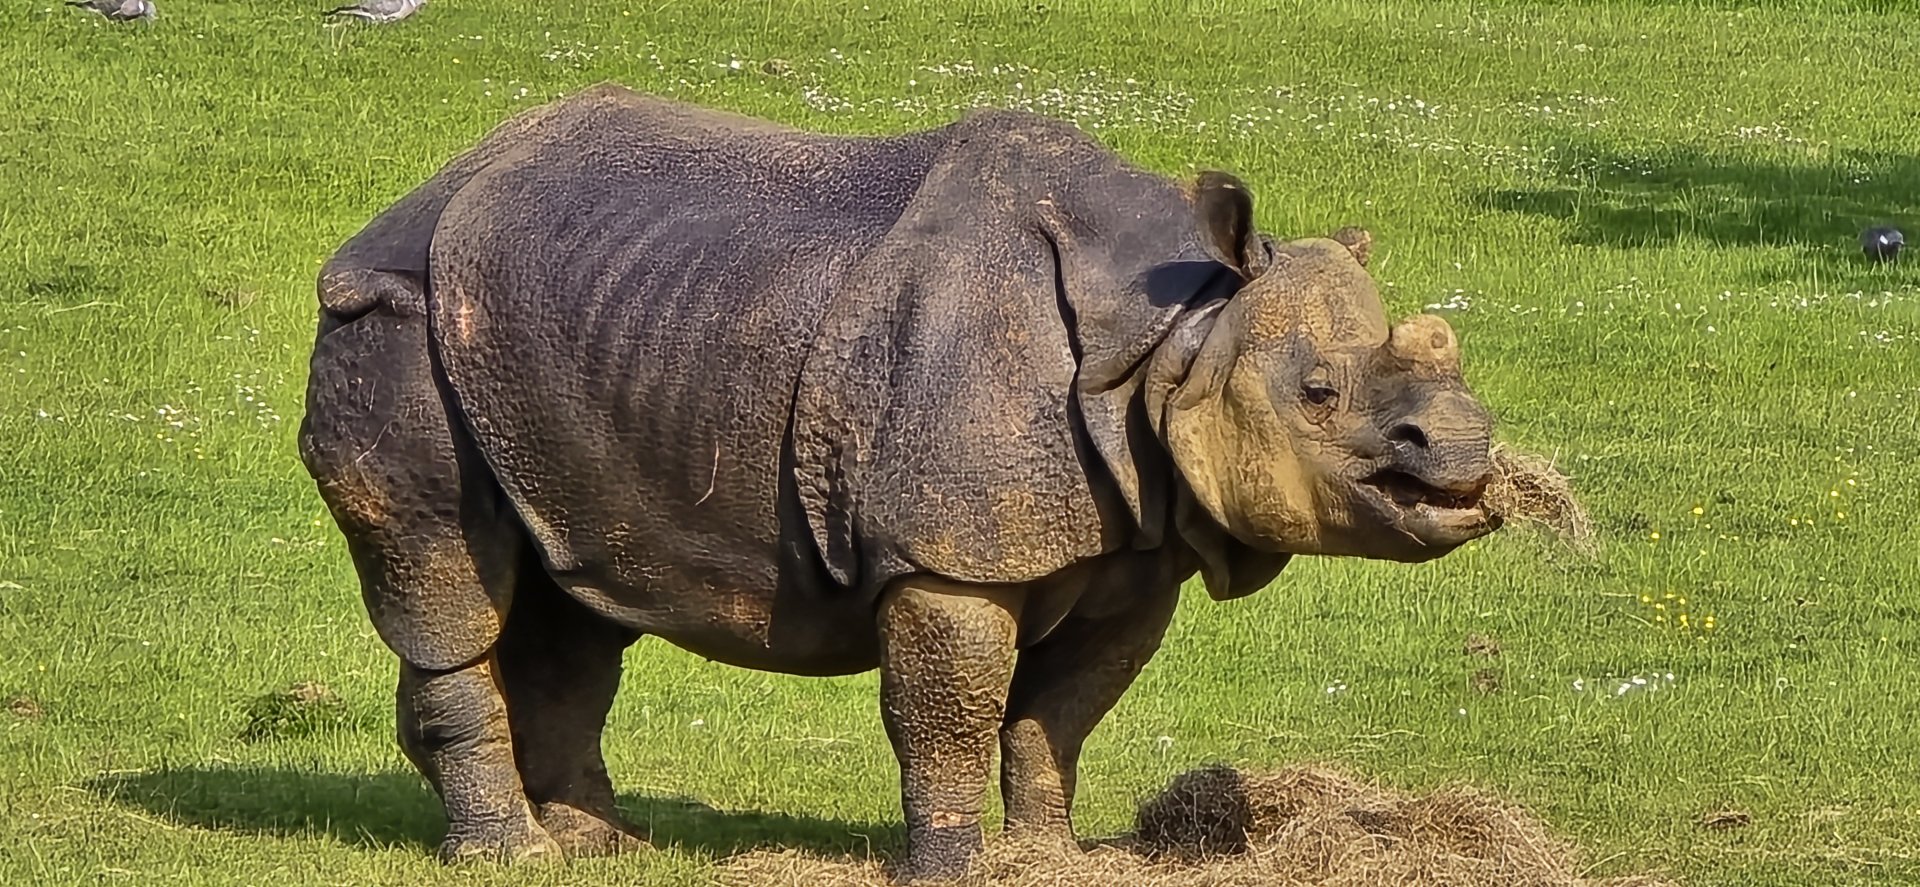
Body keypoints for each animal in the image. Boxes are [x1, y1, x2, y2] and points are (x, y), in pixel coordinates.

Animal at [297, 83, 1502, 881]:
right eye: (1318, 394)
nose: (1466, 451)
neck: (1178, 328)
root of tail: (417, 194)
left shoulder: (1137, 544)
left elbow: (1059, 714)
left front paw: (1050, 852)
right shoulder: (946, 551)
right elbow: (949, 709)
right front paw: (954, 867)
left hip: (556, 334)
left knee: (576, 591)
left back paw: (605, 842)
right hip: (390, 315)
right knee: (446, 566)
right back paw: (518, 855)